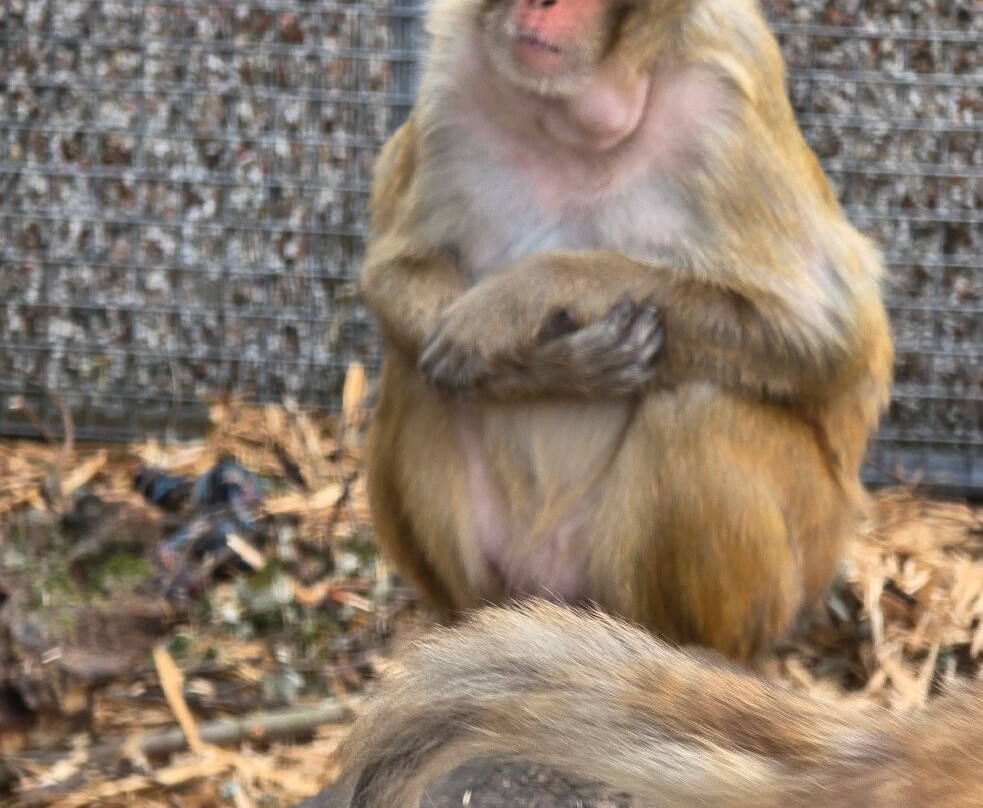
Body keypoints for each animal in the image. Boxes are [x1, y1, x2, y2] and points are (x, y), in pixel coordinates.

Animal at [361, 0, 894, 659]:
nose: (538, 4)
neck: (580, 117)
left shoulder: (729, 95)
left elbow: (830, 341)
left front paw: (533, 293)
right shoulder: (450, 74)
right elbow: (393, 273)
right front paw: (541, 368)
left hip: (795, 562)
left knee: (697, 408)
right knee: (417, 373)